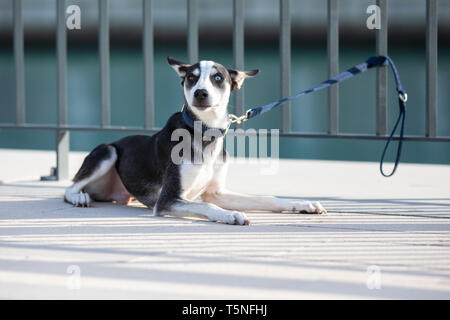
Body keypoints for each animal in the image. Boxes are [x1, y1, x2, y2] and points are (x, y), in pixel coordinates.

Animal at [63, 55, 326, 225]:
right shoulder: (168, 199)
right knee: (71, 187)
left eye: (218, 78)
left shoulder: (216, 192)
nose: (200, 93)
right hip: (107, 152)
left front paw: (301, 205)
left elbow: (265, 198)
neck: (204, 133)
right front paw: (230, 215)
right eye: (191, 77)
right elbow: (205, 205)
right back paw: (79, 197)